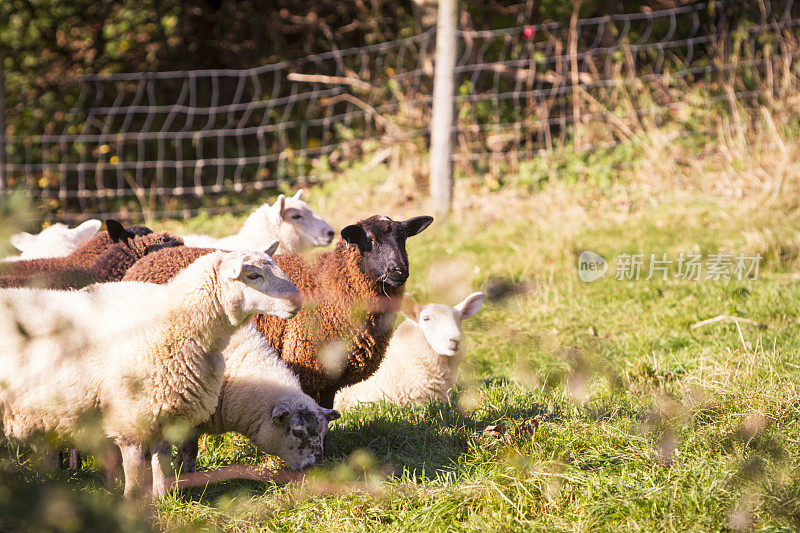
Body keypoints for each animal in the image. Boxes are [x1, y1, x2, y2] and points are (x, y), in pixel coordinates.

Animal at [0, 243, 302, 496]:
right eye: (253, 275)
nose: (297, 301)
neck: (173, 324)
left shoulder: (168, 409)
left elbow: (162, 461)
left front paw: (162, 497)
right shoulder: (129, 416)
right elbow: (134, 467)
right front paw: (133, 501)